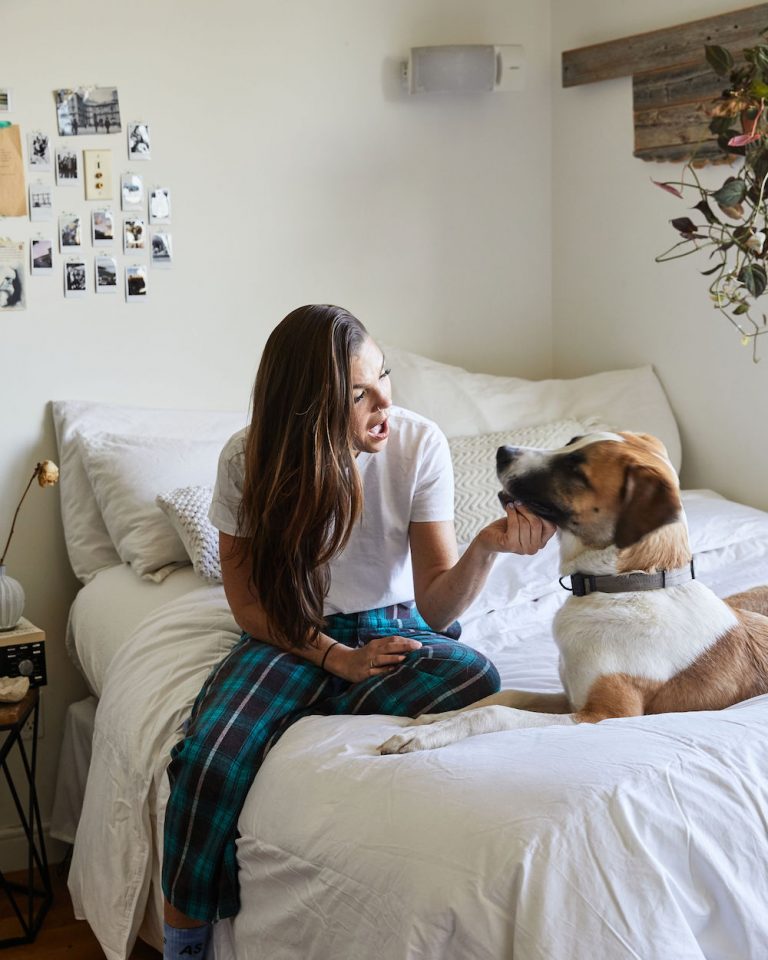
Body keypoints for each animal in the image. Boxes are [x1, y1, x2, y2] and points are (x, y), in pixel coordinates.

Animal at [380, 432, 768, 752]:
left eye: (575, 469)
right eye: (571, 442)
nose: (503, 451)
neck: (625, 586)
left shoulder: (604, 713)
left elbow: (495, 712)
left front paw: (425, 736)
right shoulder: (570, 698)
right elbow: (506, 695)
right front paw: (433, 720)